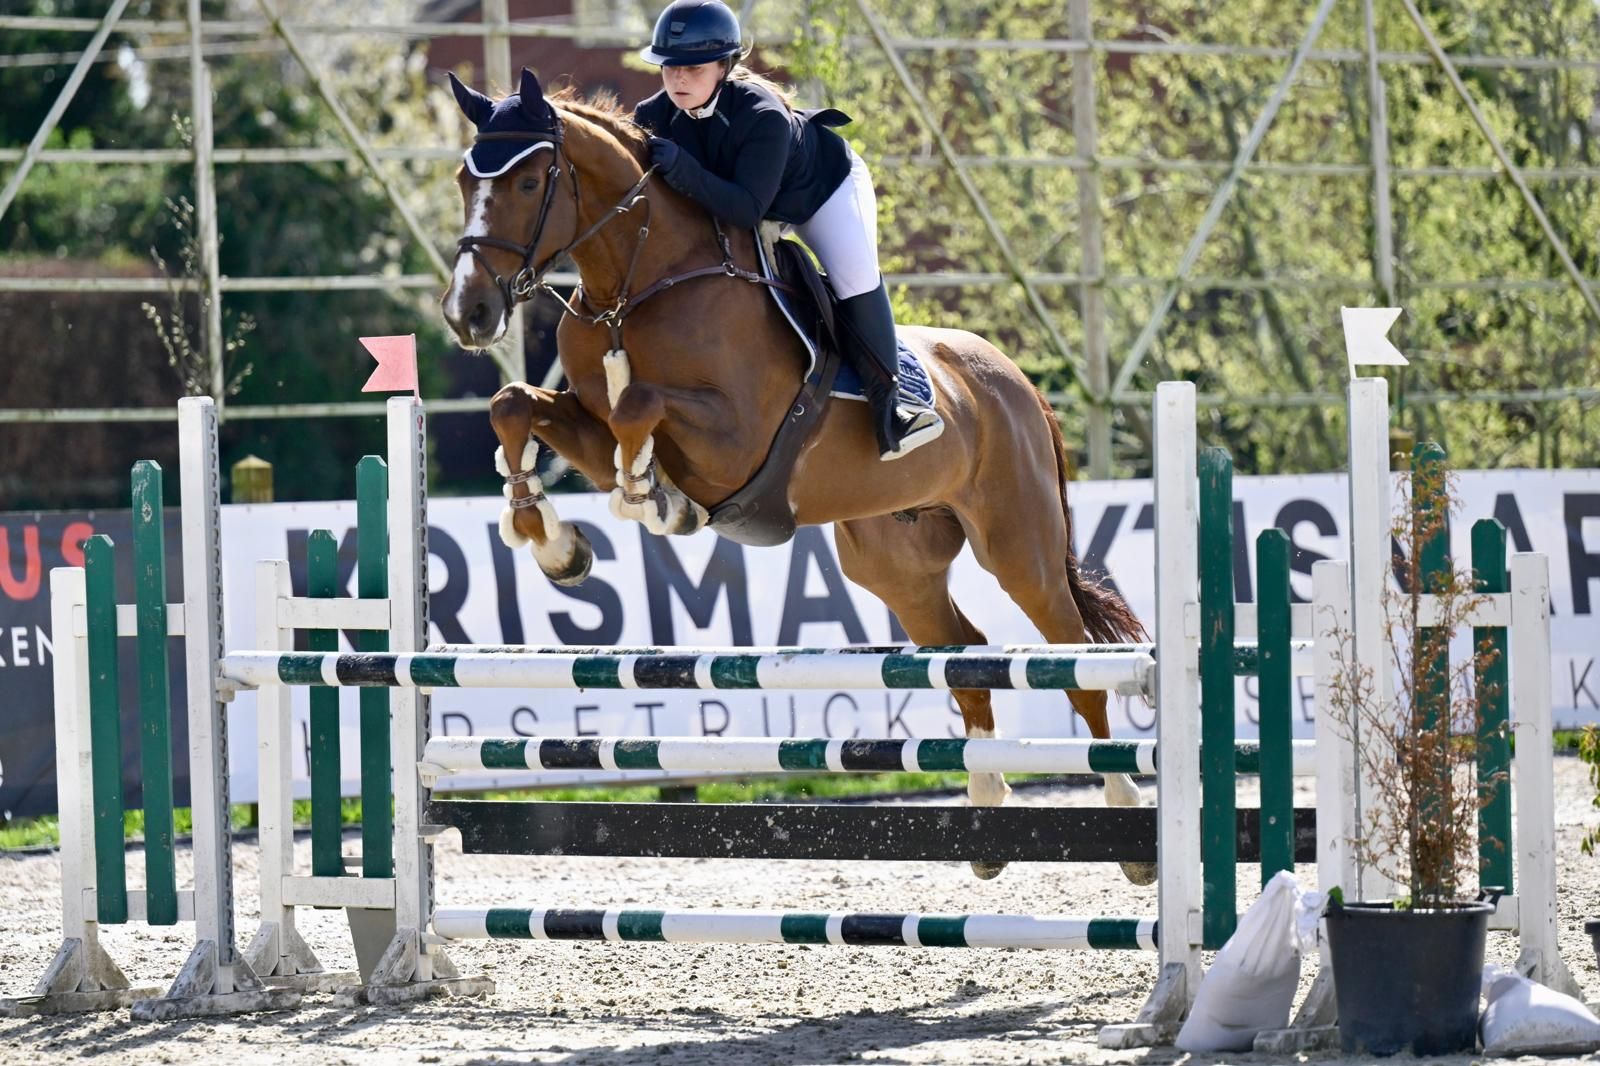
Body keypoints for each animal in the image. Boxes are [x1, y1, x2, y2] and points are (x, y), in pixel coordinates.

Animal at [441, 70, 1151, 883]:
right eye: (464, 179)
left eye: (529, 181)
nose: (468, 313)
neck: (634, 286)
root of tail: (1016, 380)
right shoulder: (589, 427)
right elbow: (516, 404)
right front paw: (554, 543)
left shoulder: (734, 441)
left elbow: (638, 406)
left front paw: (650, 498)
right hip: (893, 561)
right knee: (963, 649)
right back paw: (985, 819)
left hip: (1018, 543)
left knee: (1075, 653)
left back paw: (1126, 816)